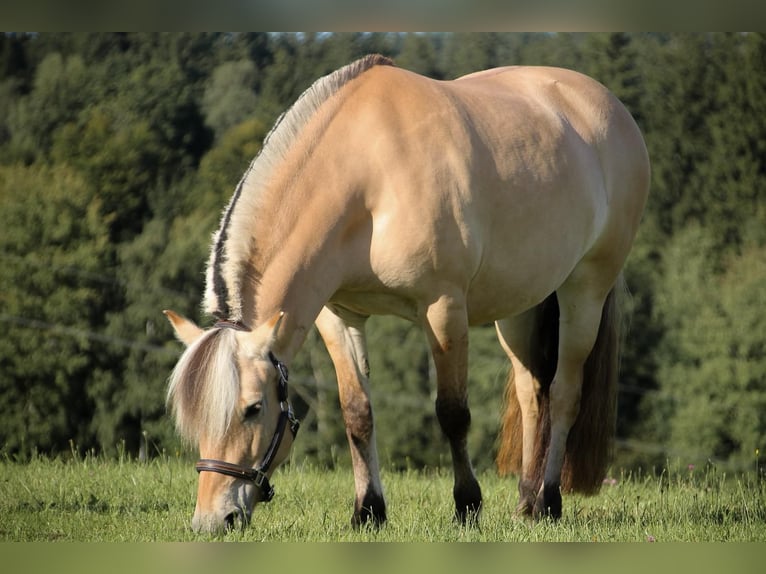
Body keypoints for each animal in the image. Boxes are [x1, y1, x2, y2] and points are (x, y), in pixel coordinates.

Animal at [164, 54, 650, 533]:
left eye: (253, 408)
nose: (212, 521)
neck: (367, 175)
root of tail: (607, 106)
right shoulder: (338, 315)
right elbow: (357, 412)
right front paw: (368, 511)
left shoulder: (443, 309)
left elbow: (453, 413)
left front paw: (467, 506)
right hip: (519, 306)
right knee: (534, 393)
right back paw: (526, 504)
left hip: (585, 289)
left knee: (565, 393)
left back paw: (548, 501)